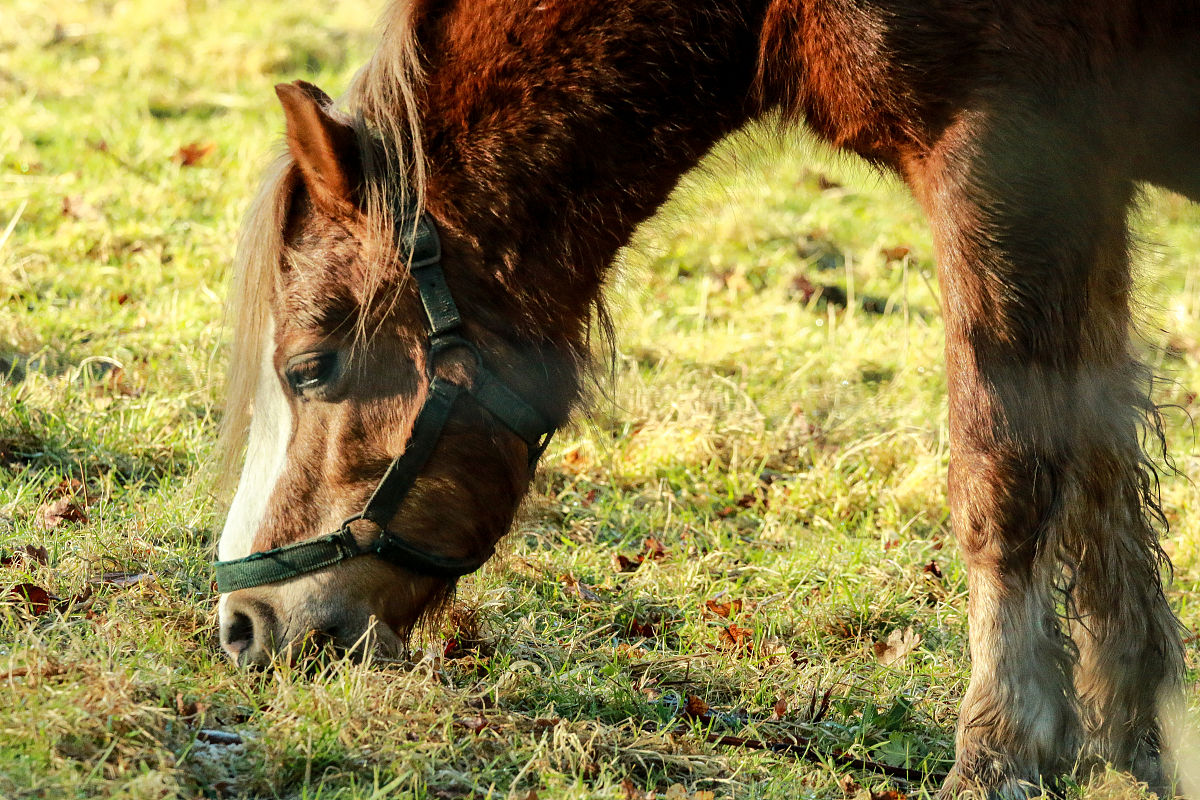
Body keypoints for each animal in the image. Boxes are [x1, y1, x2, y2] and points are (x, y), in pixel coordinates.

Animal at [212, 0, 1200, 795]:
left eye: (309, 368)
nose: (241, 627)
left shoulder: (1005, 150)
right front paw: (1138, 738)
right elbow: (1101, 465)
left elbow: (1005, 473)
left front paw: (1002, 748)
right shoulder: (1083, 182)